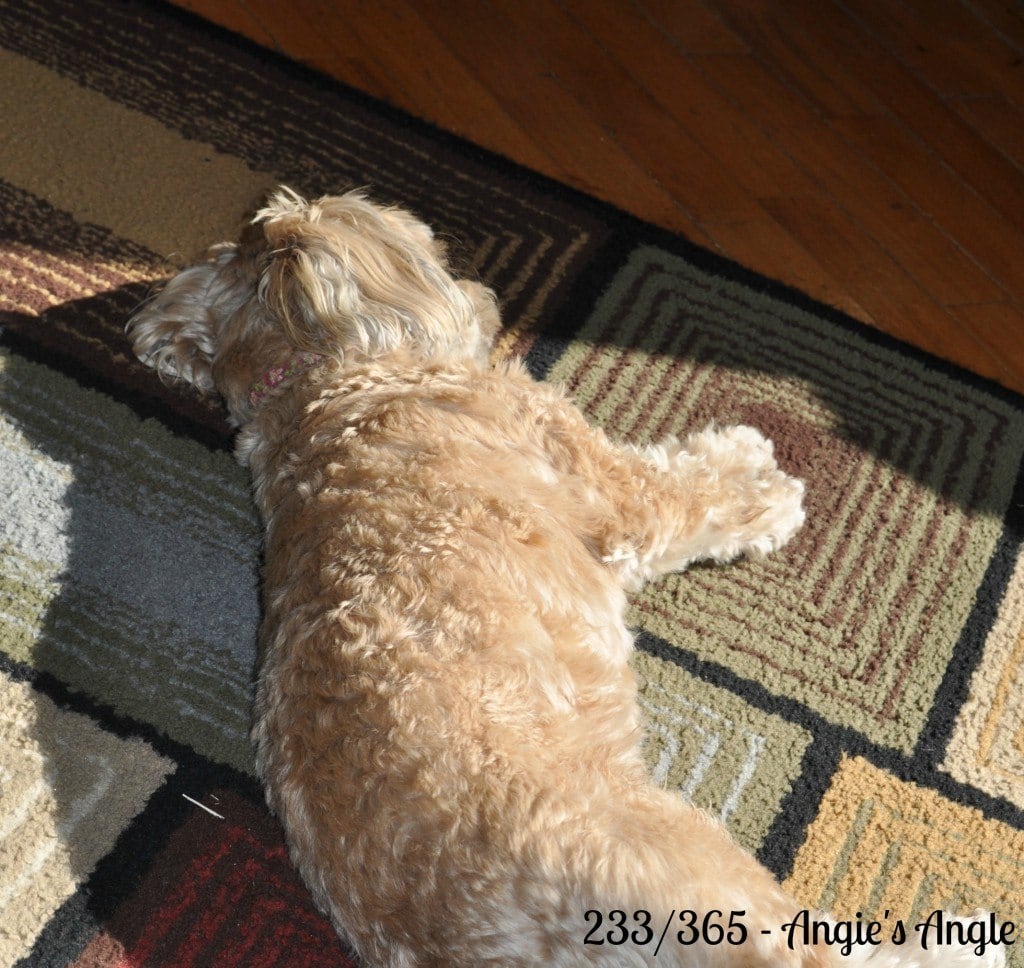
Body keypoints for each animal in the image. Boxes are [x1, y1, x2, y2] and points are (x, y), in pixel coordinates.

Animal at [123, 188, 1003, 966]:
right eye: (428, 243)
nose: (486, 294)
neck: (327, 382)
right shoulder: (614, 493)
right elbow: (690, 489)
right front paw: (761, 481)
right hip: (698, 859)